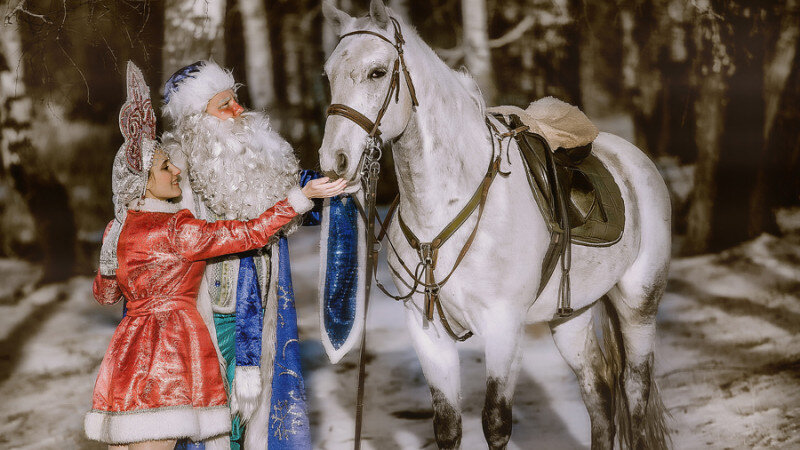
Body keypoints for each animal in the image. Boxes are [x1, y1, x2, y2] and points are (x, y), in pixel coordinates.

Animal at [318, 1, 668, 448]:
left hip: (639, 304)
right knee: (599, 393)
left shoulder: (503, 326)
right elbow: (447, 425)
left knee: (635, 391)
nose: (334, 161)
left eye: (378, 72)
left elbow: (496, 422)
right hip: (571, 316)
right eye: (329, 74)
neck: (441, 209)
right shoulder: (426, 332)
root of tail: (635, 160)